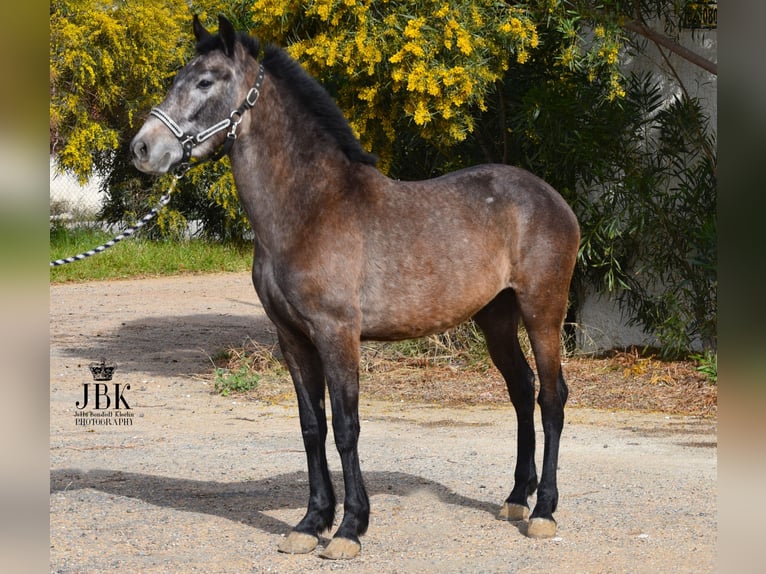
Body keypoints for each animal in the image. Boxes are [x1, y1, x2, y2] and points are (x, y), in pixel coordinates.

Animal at [129, 14, 580, 564]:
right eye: (178, 77)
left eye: (205, 81)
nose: (143, 149)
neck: (309, 210)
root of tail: (553, 199)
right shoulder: (292, 337)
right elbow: (312, 427)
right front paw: (310, 523)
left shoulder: (336, 333)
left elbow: (346, 428)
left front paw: (349, 529)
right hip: (495, 317)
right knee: (521, 391)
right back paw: (517, 498)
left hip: (542, 311)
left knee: (551, 398)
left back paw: (544, 512)